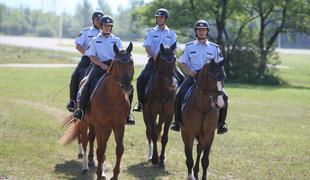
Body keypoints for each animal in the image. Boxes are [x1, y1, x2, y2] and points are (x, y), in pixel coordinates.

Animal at [60, 42, 134, 180]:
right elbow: (100, 150)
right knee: (85, 142)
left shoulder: (118, 125)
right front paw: (99, 174)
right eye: (117, 63)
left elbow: (119, 149)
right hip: (84, 122)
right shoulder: (100, 125)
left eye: (131, 62)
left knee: (96, 142)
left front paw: (114, 175)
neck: (113, 97)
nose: (127, 85)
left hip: (104, 127)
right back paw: (85, 167)